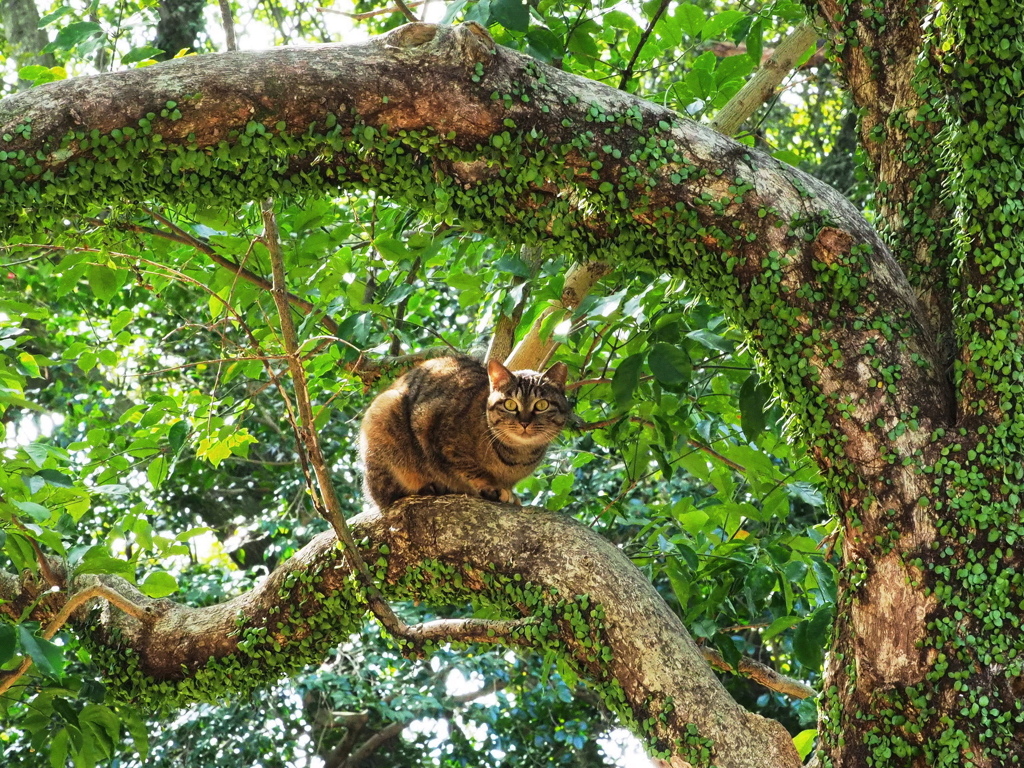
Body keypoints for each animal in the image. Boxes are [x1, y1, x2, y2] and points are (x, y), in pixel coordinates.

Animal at [358, 358, 569, 514]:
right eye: (510, 404)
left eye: (541, 405)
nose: (524, 422)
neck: (518, 455)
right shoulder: (439, 436)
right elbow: (471, 470)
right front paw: (492, 487)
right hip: (384, 411)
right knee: (388, 494)